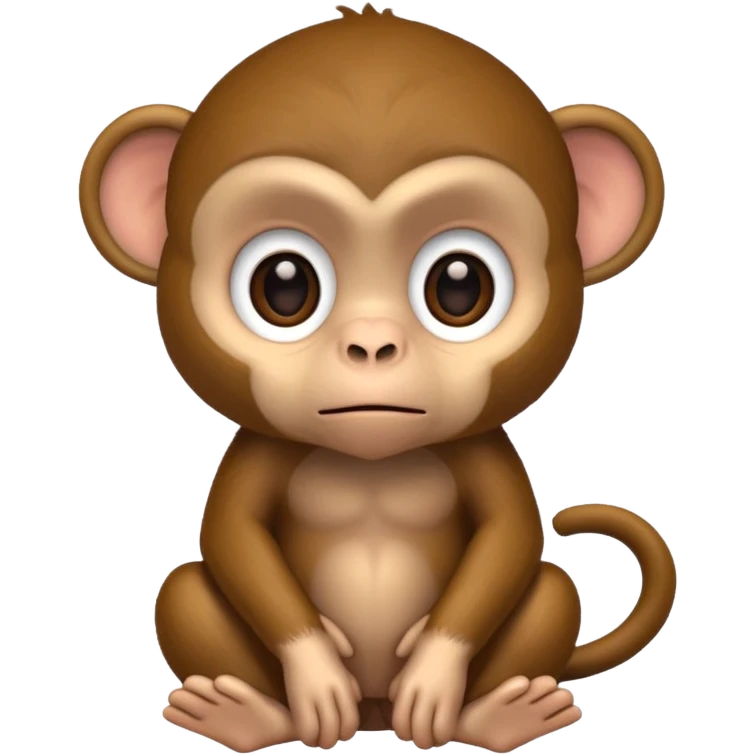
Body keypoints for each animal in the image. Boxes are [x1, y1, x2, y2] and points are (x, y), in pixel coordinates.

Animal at [78, 4, 677, 753]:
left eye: (459, 285)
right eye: (283, 285)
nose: (371, 344)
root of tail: (374, 713)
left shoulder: (481, 447)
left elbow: (510, 535)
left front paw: (434, 677)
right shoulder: (259, 448)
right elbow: (233, 535)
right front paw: (314, 678)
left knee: (550, 590)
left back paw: (495, 714)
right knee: (184, 589)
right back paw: (247, 713)